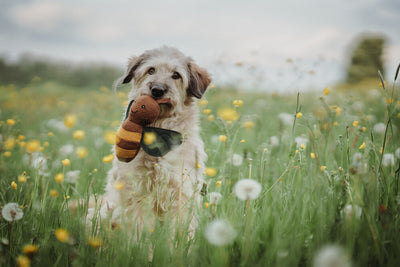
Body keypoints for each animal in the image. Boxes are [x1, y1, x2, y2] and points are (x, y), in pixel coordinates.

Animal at [88, 46, 212, 241]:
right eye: (151, 70)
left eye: (176, 75)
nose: (157, 90)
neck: (158, 132)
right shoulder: (137, 191)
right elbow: (139, 228)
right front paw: (139, 247)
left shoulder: (180, 192)